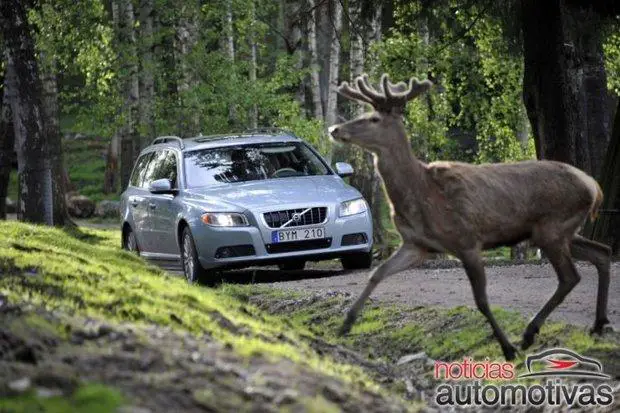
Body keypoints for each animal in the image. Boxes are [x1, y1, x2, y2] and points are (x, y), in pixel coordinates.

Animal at [326, 74, 612, 360]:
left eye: (374, 119)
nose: (334, 129)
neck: (421, 192)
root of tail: (594, 187)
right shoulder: (416, 244)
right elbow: (377, 273)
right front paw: (345, 324)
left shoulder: (467, 240)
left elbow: (481, 300)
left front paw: (506, 348)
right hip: (559, 231)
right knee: (602, 252)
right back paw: (597, 324)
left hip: (552, 227)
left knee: (570, 276)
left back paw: (530, 334)